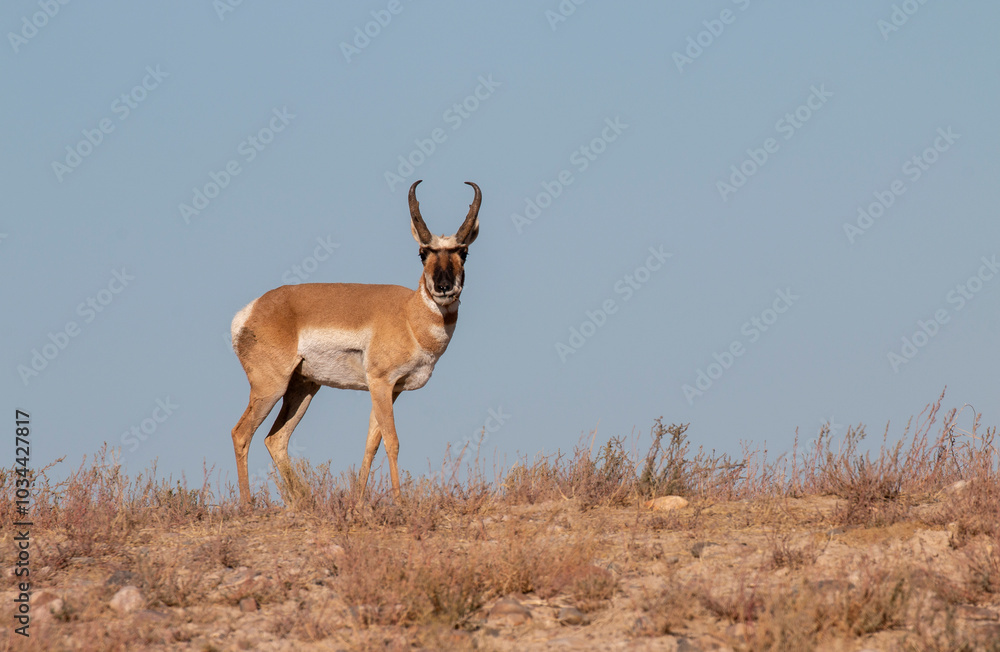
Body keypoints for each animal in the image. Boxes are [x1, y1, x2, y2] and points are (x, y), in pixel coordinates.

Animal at [229, 180, 481, 504]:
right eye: (423, 253)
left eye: (464, 252)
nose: (443, 287)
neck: (408, 314)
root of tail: (252, 310)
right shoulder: (381, 383)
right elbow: (392, 441)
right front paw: (399, 502)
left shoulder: (391, 390)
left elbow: (371, 443)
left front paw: (359, 502)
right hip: (270, 388)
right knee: (241, 433)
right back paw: (248, 505)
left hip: (303, 388)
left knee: (275, 439)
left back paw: (304, 502)